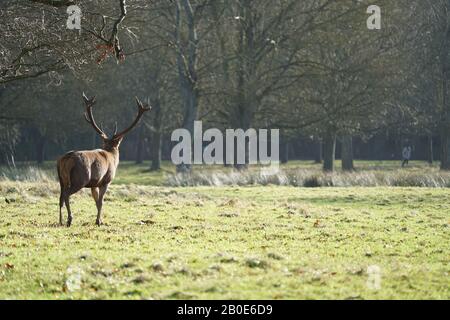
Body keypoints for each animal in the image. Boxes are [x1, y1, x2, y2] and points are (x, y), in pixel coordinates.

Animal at [55, 93, 151, 228]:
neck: (112, 156)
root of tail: (65, 160)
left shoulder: (94, 184)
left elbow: (96, 201)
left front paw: (99, 219)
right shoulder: (105, 181)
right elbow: (101, 202)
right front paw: (99, 221)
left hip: (62, 179)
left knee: (60, 197)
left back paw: (60, 221)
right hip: (80, 179)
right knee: (66, 195)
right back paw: (69, 219)